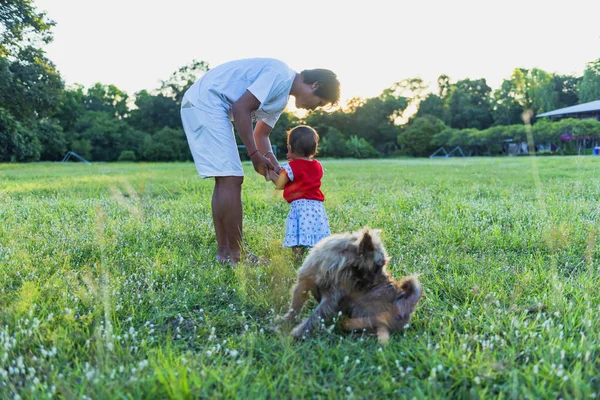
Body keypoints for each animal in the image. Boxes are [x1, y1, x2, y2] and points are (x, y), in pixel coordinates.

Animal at [282, 227, 422, 346]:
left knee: (375, 330)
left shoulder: (330, 300)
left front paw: (299, 333)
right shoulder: (303, 283)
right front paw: (286, 321)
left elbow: (315, 316)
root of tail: (406, 301)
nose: (387, 279)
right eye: (379, 265)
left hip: (361, 310)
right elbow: (295, 306)